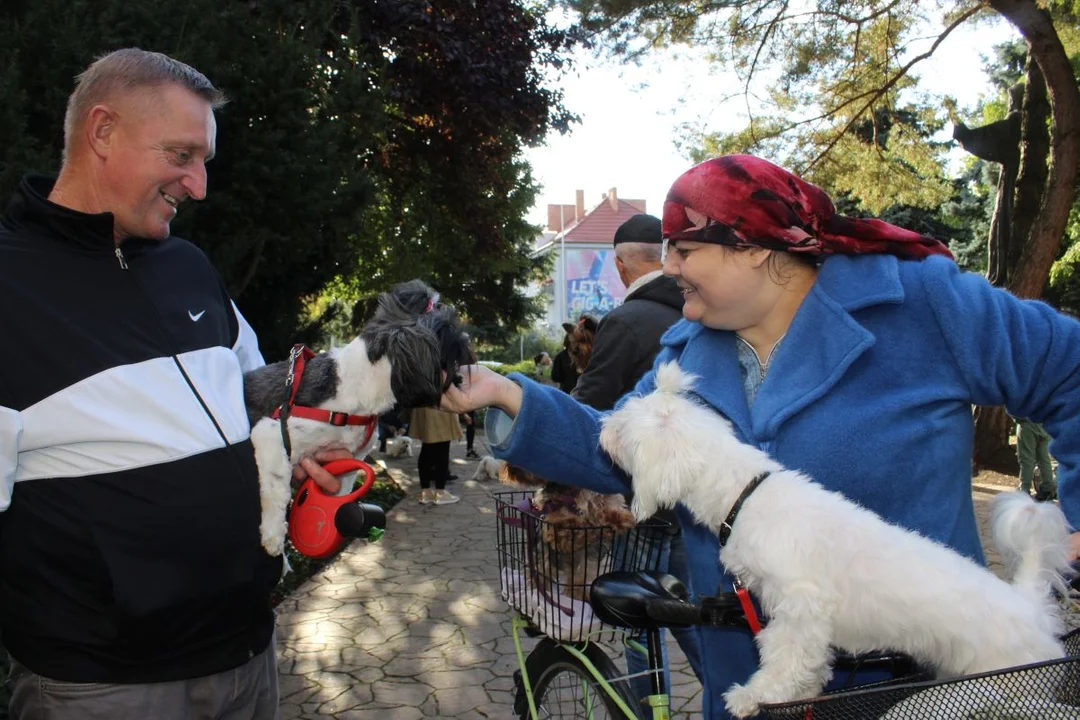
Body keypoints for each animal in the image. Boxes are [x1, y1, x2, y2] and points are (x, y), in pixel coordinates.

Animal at [246, 280, 473, 557]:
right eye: (447, 329)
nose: (468, 341)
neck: (356, 384)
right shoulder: (272, 434)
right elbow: (276, 489)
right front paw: (273, 535)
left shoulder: (348, 456)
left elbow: (340, 488)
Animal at [600, 362, 1071, 716]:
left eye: (623, 426)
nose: (602, 427)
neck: (745, 495)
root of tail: (1031, 607)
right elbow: (807, 661)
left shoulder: (801, 606)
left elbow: (783, 655)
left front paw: (756, 694)